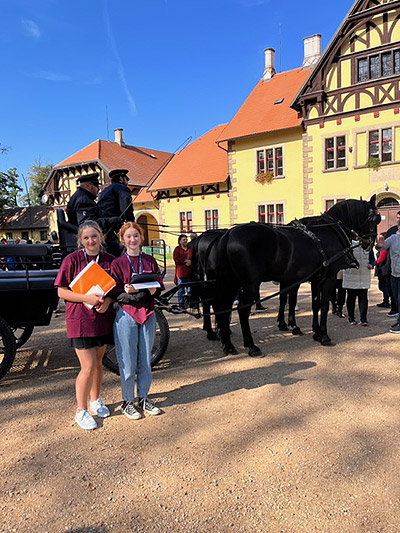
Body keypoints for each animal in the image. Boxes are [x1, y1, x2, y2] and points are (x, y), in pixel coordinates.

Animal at [209, 194, 382, 354]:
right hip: (249, 285)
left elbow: (315, 304)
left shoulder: (316, 279)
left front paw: (316, 332)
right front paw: (324, 336)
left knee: (223, 308)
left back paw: (228, 345)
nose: (370, 244)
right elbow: (323, 305)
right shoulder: (329, 278)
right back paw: (251, 345)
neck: (328, 231)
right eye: (375, 219)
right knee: (242, 311)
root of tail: (229, 234)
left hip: (230, 283)